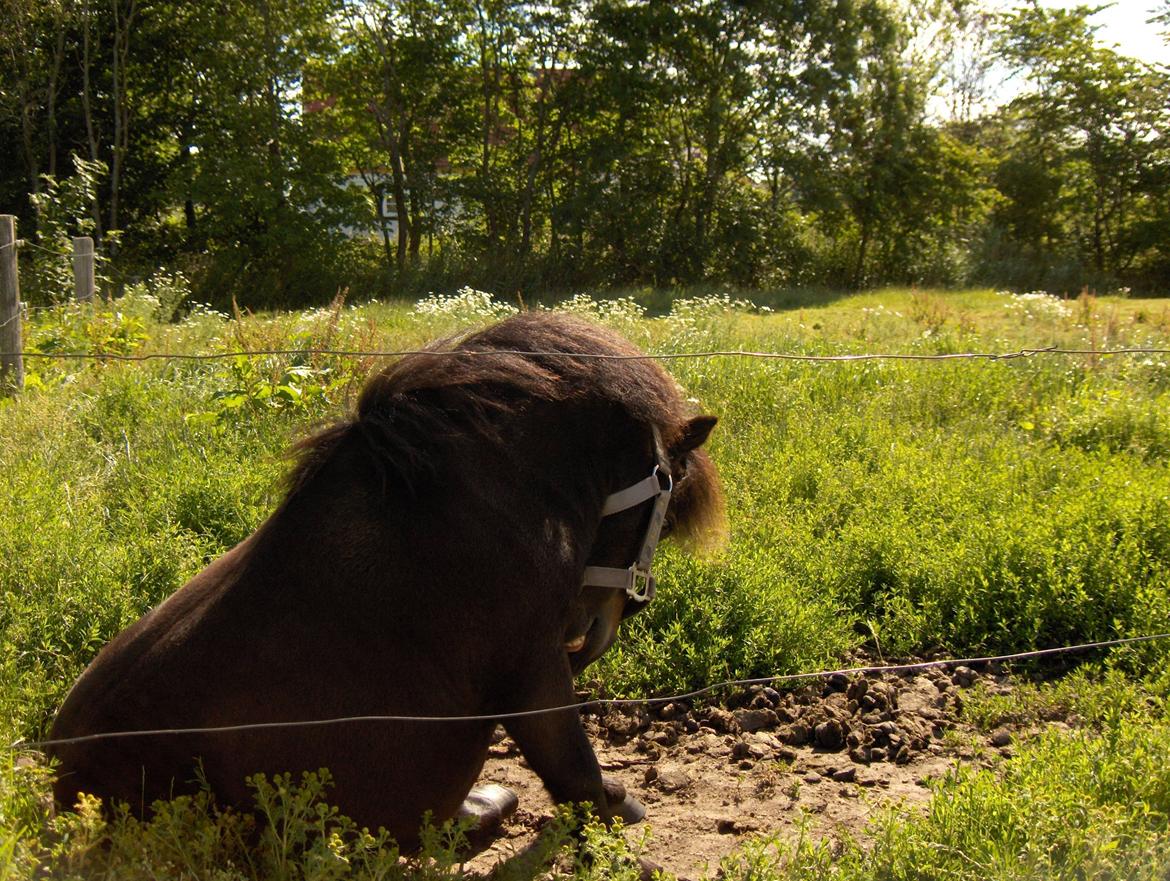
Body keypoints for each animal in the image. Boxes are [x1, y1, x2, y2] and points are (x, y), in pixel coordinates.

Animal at [50, 313, 720, 847]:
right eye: (666, 507)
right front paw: (617, 813)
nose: (599, 624)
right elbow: (574, 770)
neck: (482, 503)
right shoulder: (533, 670)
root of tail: (59, 796)